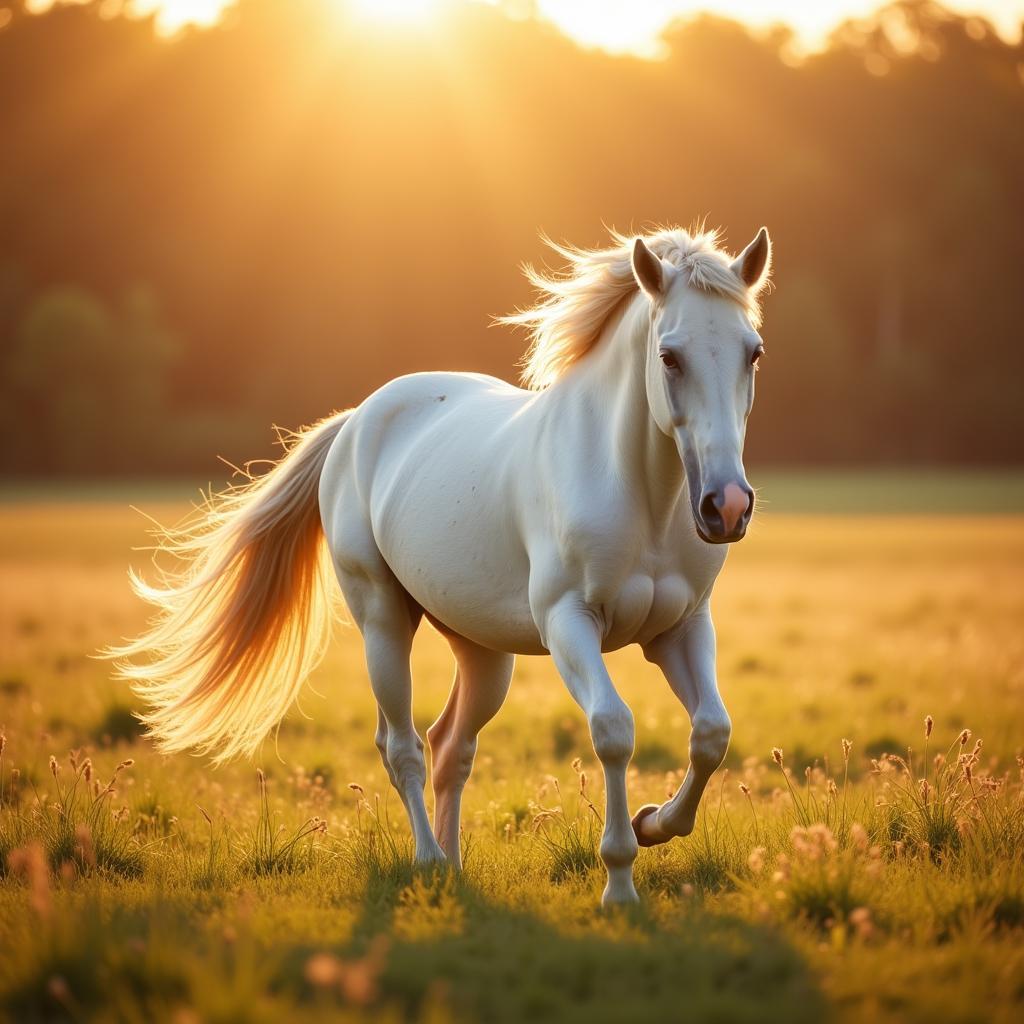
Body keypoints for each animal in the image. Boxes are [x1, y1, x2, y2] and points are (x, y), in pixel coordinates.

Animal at [114, 222, 770, 905]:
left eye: (752, 352)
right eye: (669, 356)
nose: (726, 507)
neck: (639, 490)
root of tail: (357, 421)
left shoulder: (681, 628)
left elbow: (711, 733)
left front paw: (653, 824)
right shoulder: (569, 624)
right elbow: (613, 730)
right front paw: (619, 881)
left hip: (483, 653)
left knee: (449, 744)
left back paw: (454, 866)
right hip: (383, 623)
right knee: (401, 745)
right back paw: (428, 861)